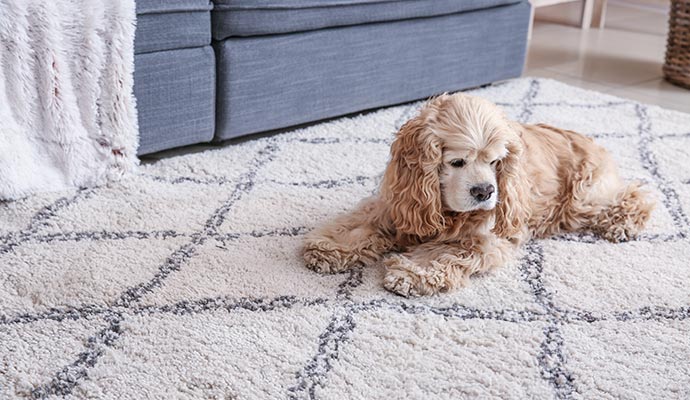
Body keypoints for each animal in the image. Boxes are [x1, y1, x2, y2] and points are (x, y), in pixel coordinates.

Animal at [300, 92, 652, 296]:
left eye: (496, 162)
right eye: (457, 162)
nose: (484, 191)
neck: (444, 207)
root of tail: (594, 142)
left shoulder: (484, 238)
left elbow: (447, 252)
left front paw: (412, 273)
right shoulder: (398, 205)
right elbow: (360, 224)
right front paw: (329, 248)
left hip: (584, 198)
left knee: (637, 194)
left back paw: (623, 224)